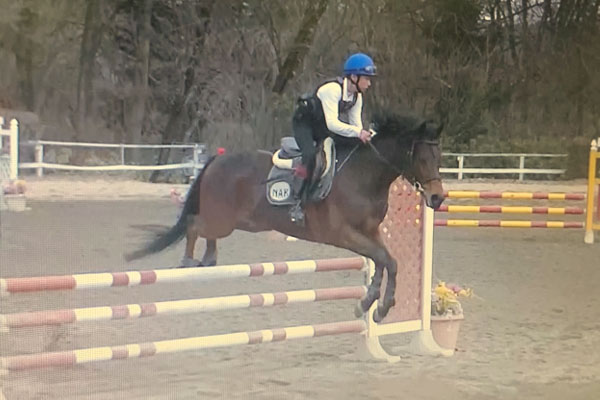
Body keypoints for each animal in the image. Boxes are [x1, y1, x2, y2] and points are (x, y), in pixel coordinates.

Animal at [125, 110, 444, 322]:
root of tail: (218, 159)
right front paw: (376, 306)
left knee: (206, 233)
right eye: (422, 158)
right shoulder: (344, 234)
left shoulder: (371, 232)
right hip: (223, 219)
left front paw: (372, 305)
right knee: (194, 225)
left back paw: (209, 260)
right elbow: (384, 259)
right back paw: (188, 261)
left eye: (440, 157)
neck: (364, 177)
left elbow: (386, 261)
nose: (437, 198)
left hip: (238, 222)